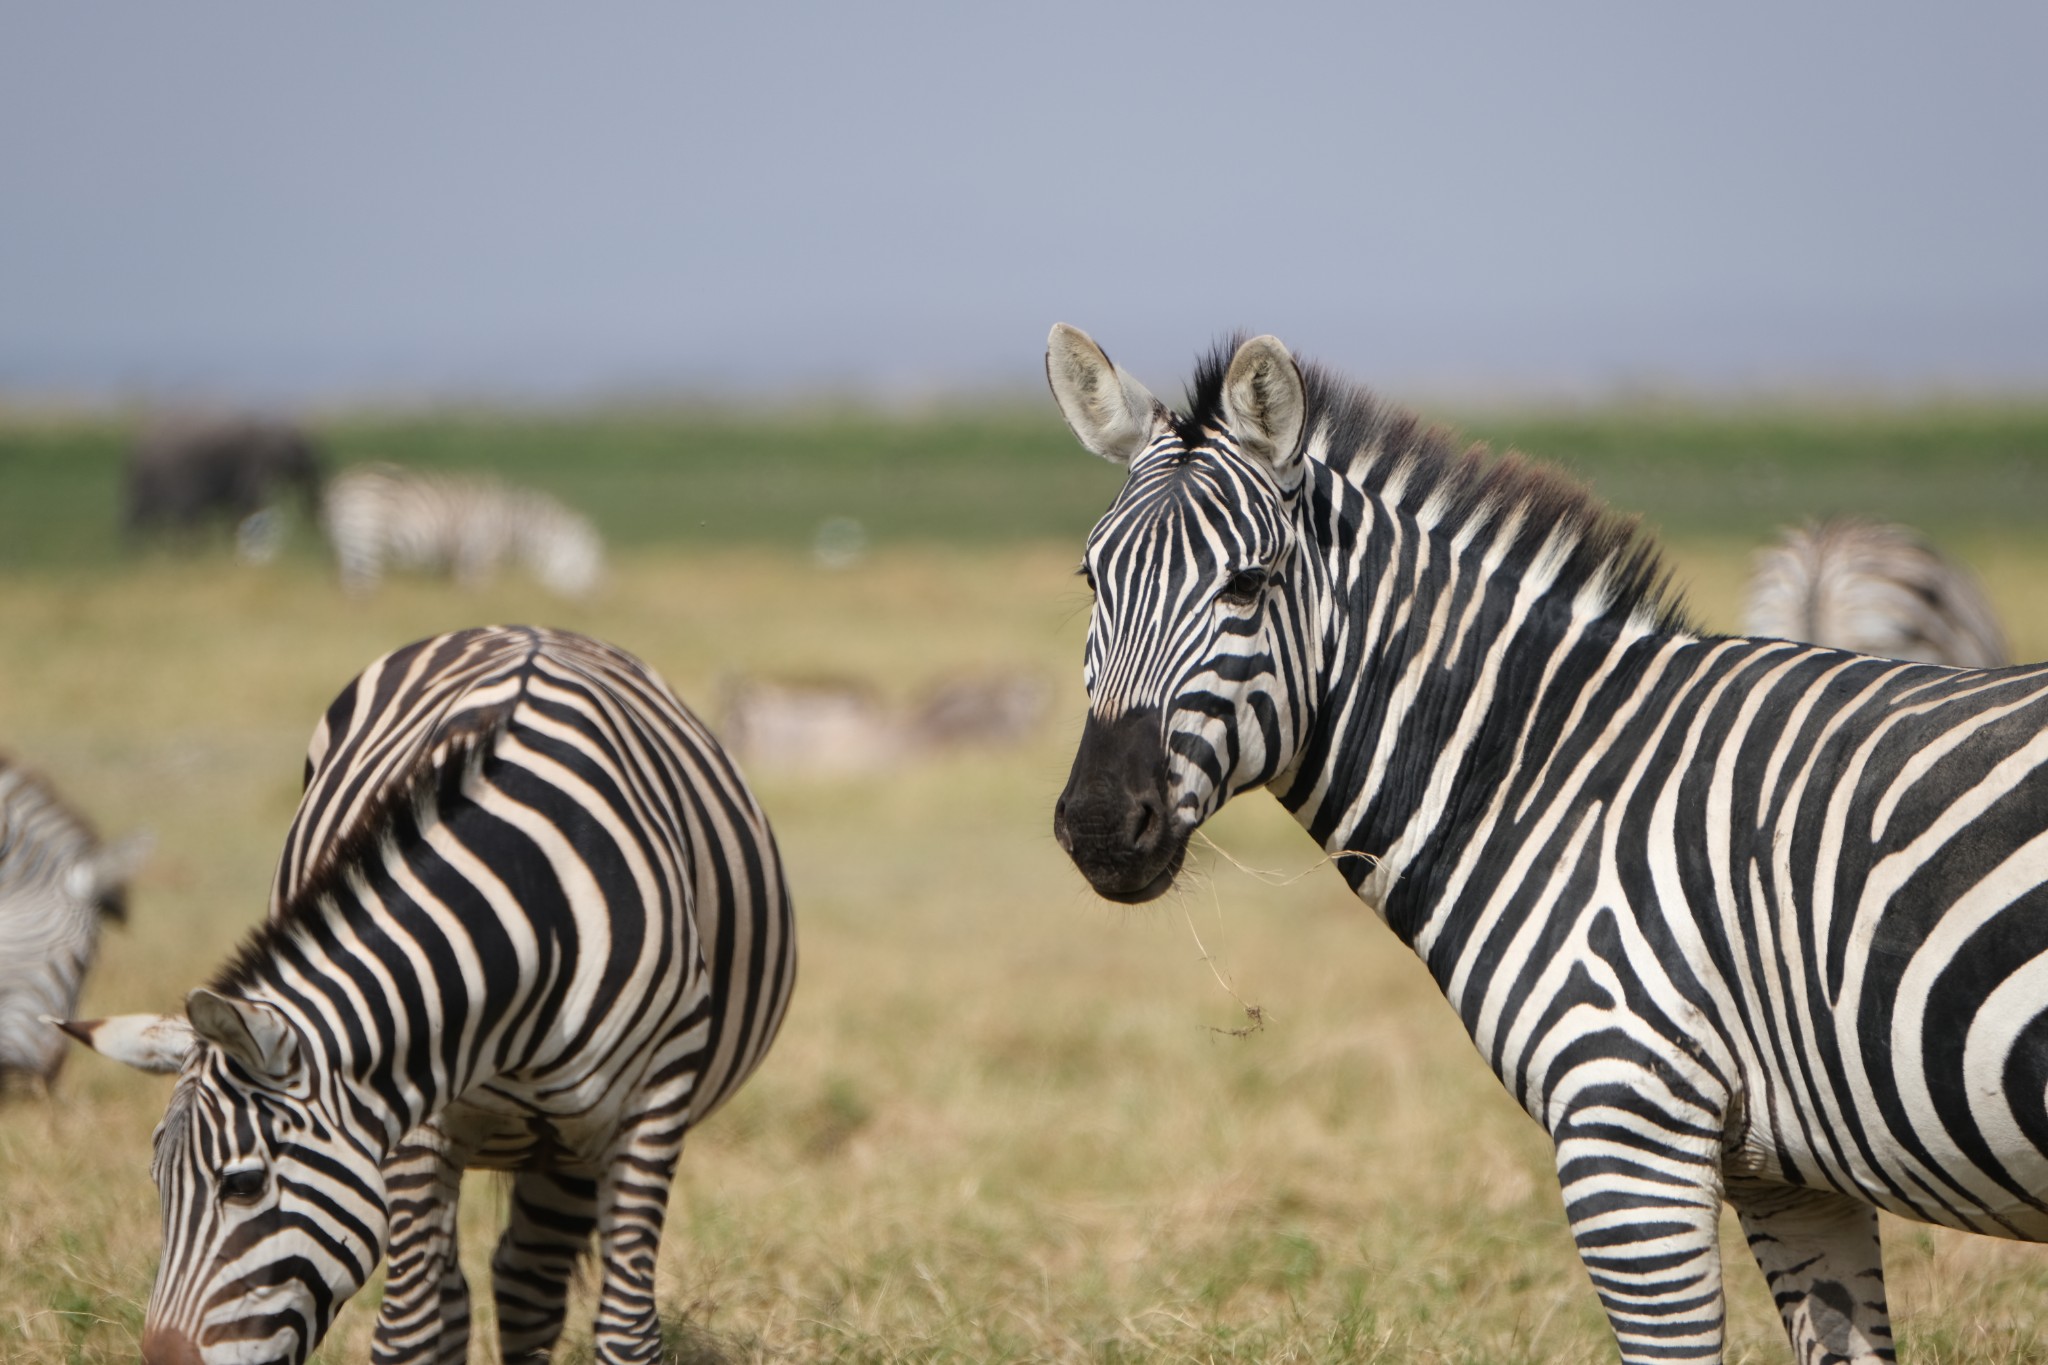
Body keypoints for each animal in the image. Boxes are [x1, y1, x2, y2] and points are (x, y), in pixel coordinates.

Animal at [59, 630, 794, 1365]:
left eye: (243, 1183)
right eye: (157, 1181)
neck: (530, 918)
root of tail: (522, 627)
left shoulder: (651, 1108)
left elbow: (627, 1333)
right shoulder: (412, 1123)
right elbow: (413, 1332)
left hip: (571, 1143)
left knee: (527, 1283)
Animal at [319, 464, 602, 597]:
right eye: (583, 559)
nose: (597, 596)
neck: (510, 527)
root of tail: (342, 482)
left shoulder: (459, 557)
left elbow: (458, 592)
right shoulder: (478, 552)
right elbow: (475, 593)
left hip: (351, 540)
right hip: (365, 535)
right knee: (360, 586)